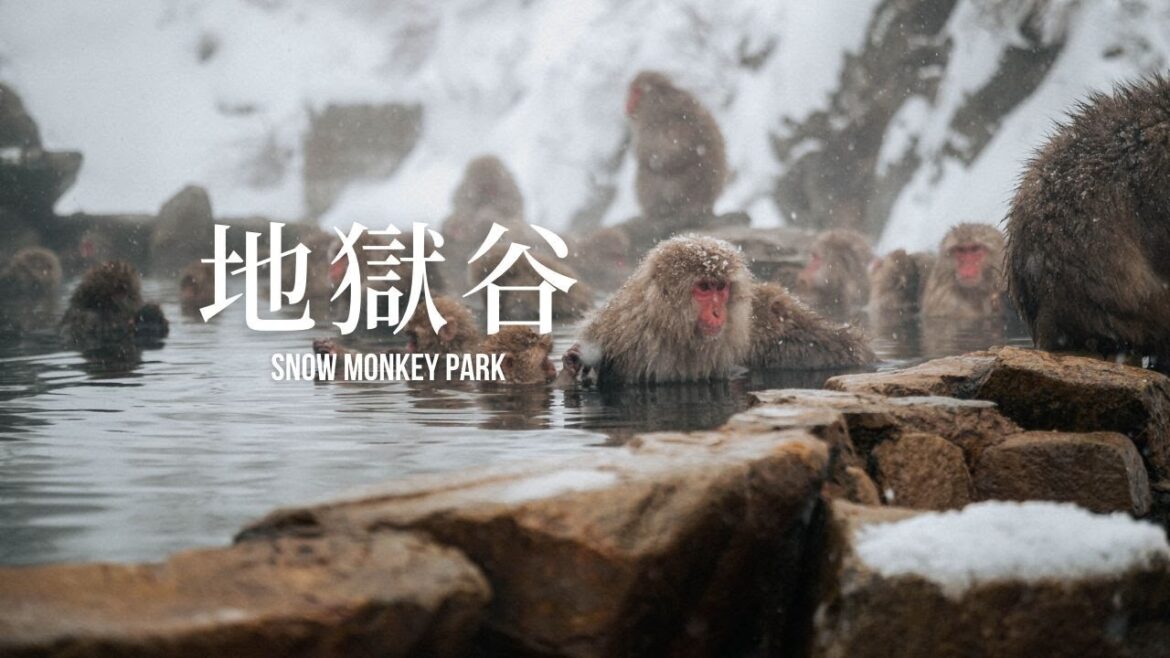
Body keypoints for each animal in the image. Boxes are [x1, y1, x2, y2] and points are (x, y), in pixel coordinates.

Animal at [626, 71, 727, 224]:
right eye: (632, 91)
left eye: (636, 92)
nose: (628, 104)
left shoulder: (651, 116)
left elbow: (652, 152)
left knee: (647, 171)